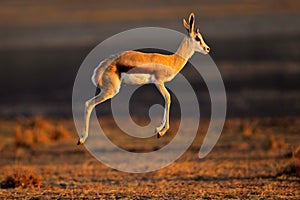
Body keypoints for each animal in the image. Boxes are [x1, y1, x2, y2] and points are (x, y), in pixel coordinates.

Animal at [77, 11, 210, 145]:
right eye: (197, 38)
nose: (207, 49)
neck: (171, 60)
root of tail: (99, 69)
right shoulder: (159, 82)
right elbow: (168, 98)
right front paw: (162, 131)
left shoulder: (159, 84)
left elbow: (166, 99)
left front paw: (158, 129)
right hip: (111, 91)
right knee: (88, 104)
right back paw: (82, 139)